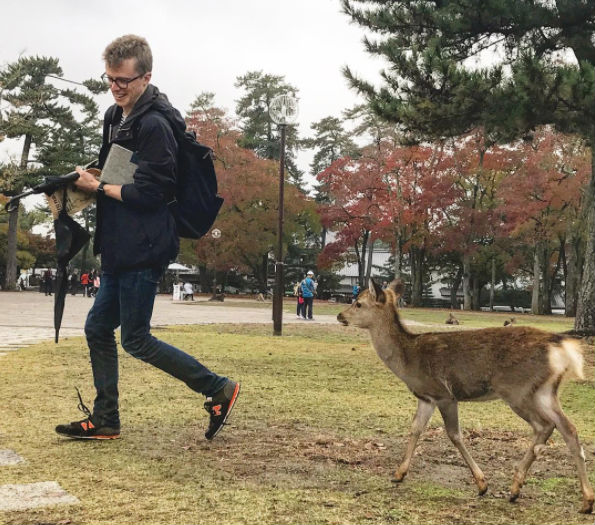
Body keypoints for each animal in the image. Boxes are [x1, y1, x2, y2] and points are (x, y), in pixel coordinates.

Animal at [338, 278, 592, 512]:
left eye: (359, 303)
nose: (340, 316)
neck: (408, 360)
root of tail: (560, 346)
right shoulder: (426, 397)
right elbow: (416, 428)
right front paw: (398, 474)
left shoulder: (444, 394)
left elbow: (454, 435)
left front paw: (482, 484)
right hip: (545, 391)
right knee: (569, 428)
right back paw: (586, 501)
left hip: (517, 389)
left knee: (544, 426)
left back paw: (515, 488)